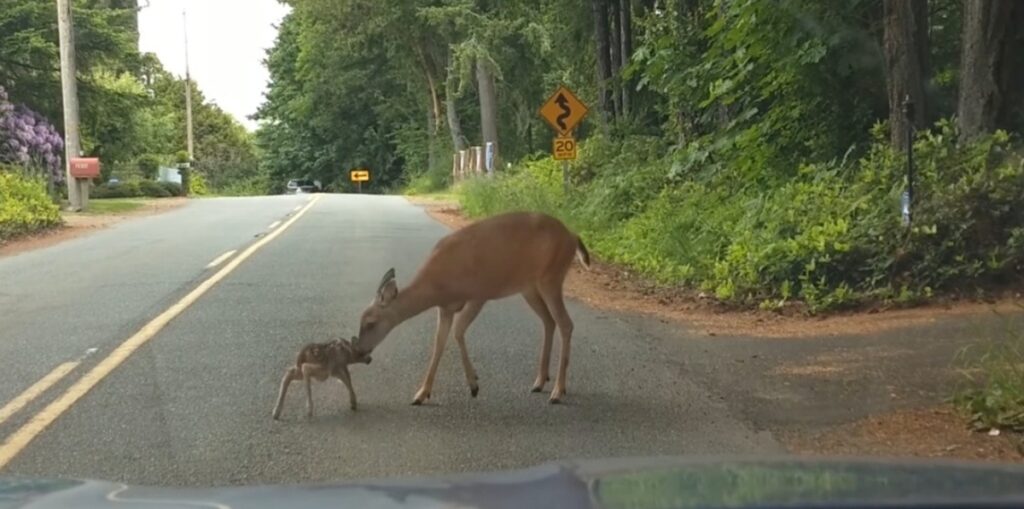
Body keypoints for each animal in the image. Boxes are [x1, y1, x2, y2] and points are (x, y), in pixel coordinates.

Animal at [354, 208, 589, 401]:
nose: (360, 350)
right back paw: (540, 381)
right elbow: (438, 343)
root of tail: (572, 236)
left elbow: (458, 331)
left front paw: (474, 385)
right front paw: (421, 394)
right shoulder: (445, 307)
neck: (437, 286)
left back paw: (558, 391)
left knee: (566, 323)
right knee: (549, 321)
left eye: (370, 322)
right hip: (529, 287)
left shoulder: (479, 294)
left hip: (552, 277)